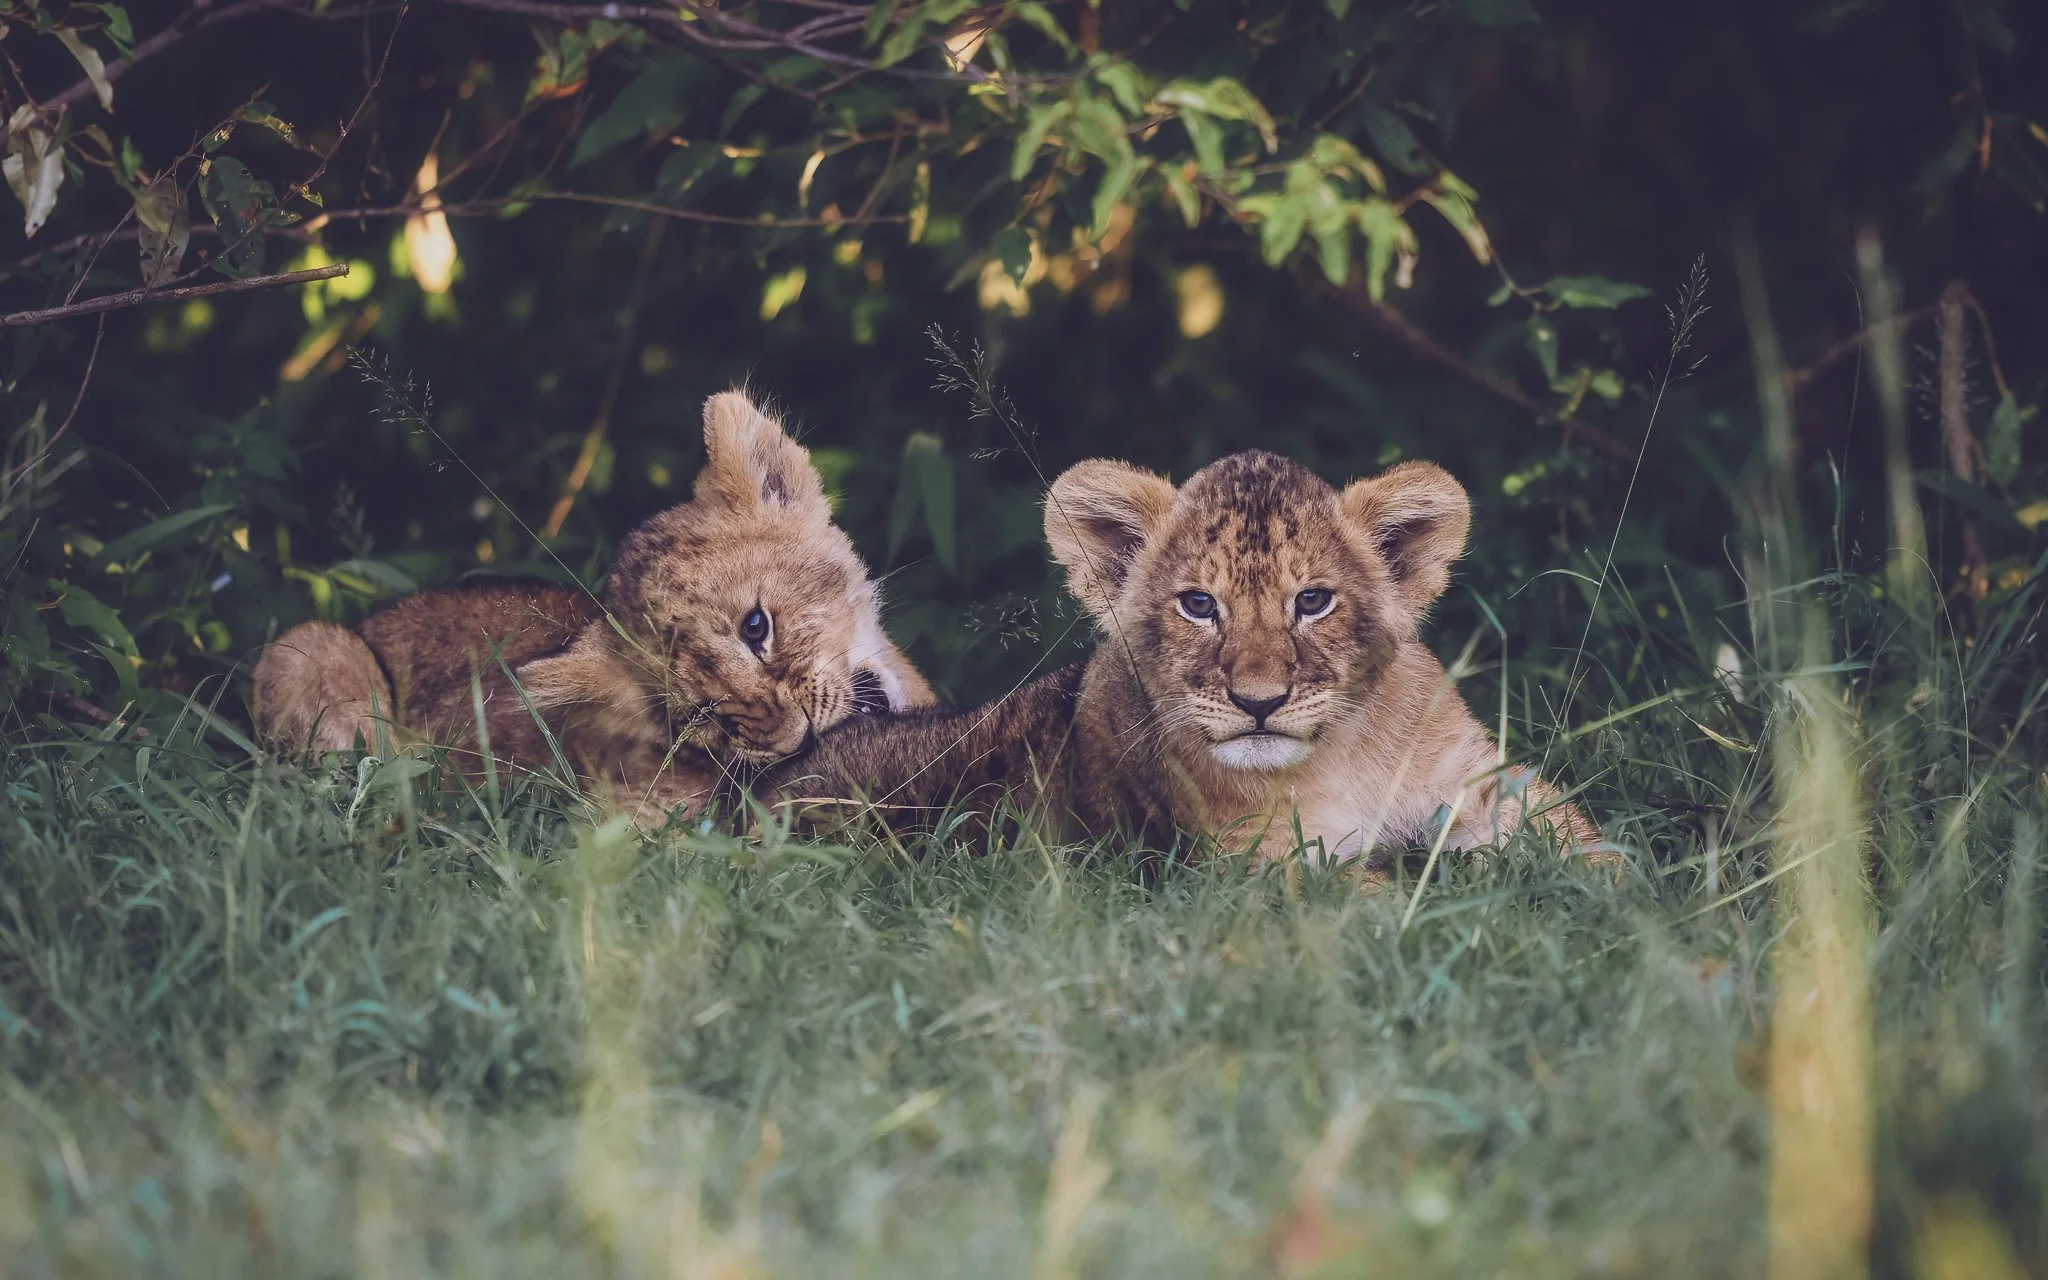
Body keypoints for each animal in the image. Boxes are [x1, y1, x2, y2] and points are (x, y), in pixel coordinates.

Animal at [760, 449, 1604, 871]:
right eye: (1198, 604)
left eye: (1313, 601)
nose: (1259, 702)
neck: (1337, 759)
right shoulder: (1256, 871)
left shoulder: (1484, 788)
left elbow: (1592, 850)